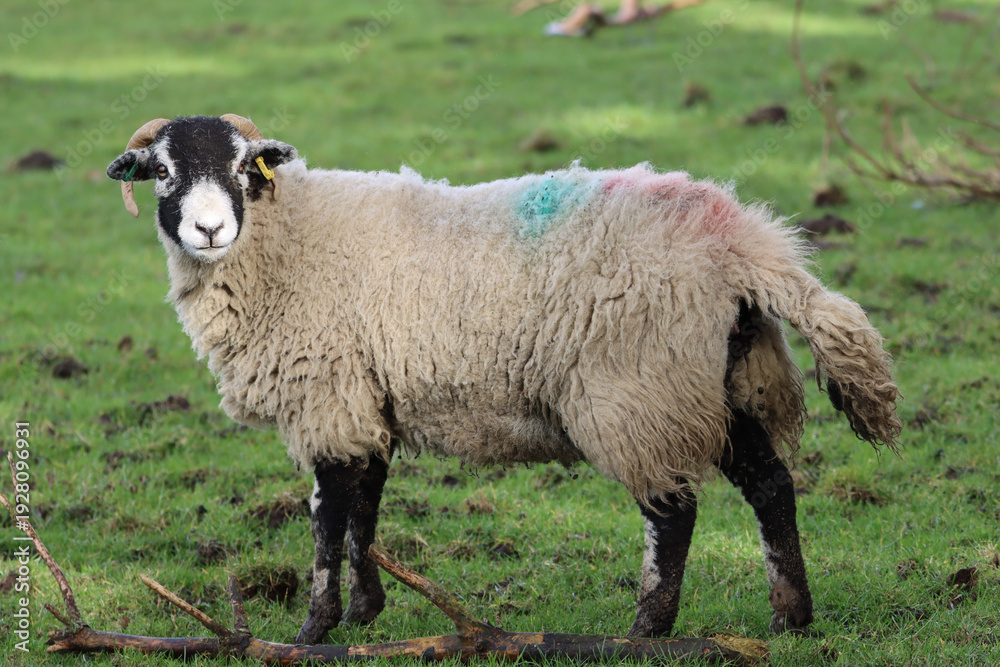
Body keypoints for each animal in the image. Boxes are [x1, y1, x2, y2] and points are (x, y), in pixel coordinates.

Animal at [107, 114, 901, 644]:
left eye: (244, 169)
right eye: (165, 172)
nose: (209, 230)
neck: (286, 237)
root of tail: (742, 242)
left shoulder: (326, 392)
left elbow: (329, 515)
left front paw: (314, 628)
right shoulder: (367, 395)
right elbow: (365, 507)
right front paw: (365, 613)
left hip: (639, 385)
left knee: (673, 510)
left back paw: (646, 629)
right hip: (713, 379)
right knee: (771, 484)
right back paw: (790, 616)